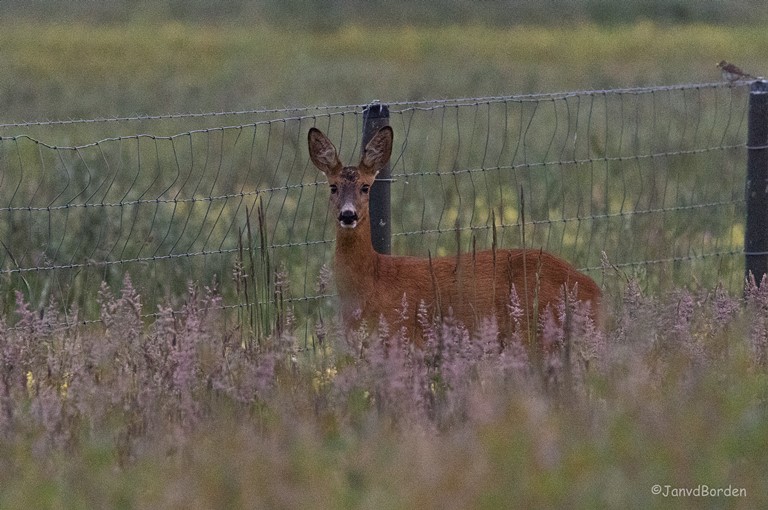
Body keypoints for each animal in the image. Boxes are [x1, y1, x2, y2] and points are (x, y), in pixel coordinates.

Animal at [308, 125, 600, 344]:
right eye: (333, 187)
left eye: (366, 187)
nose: (348, 215)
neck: (372, 279)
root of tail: (596, 291)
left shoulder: (401, 335)